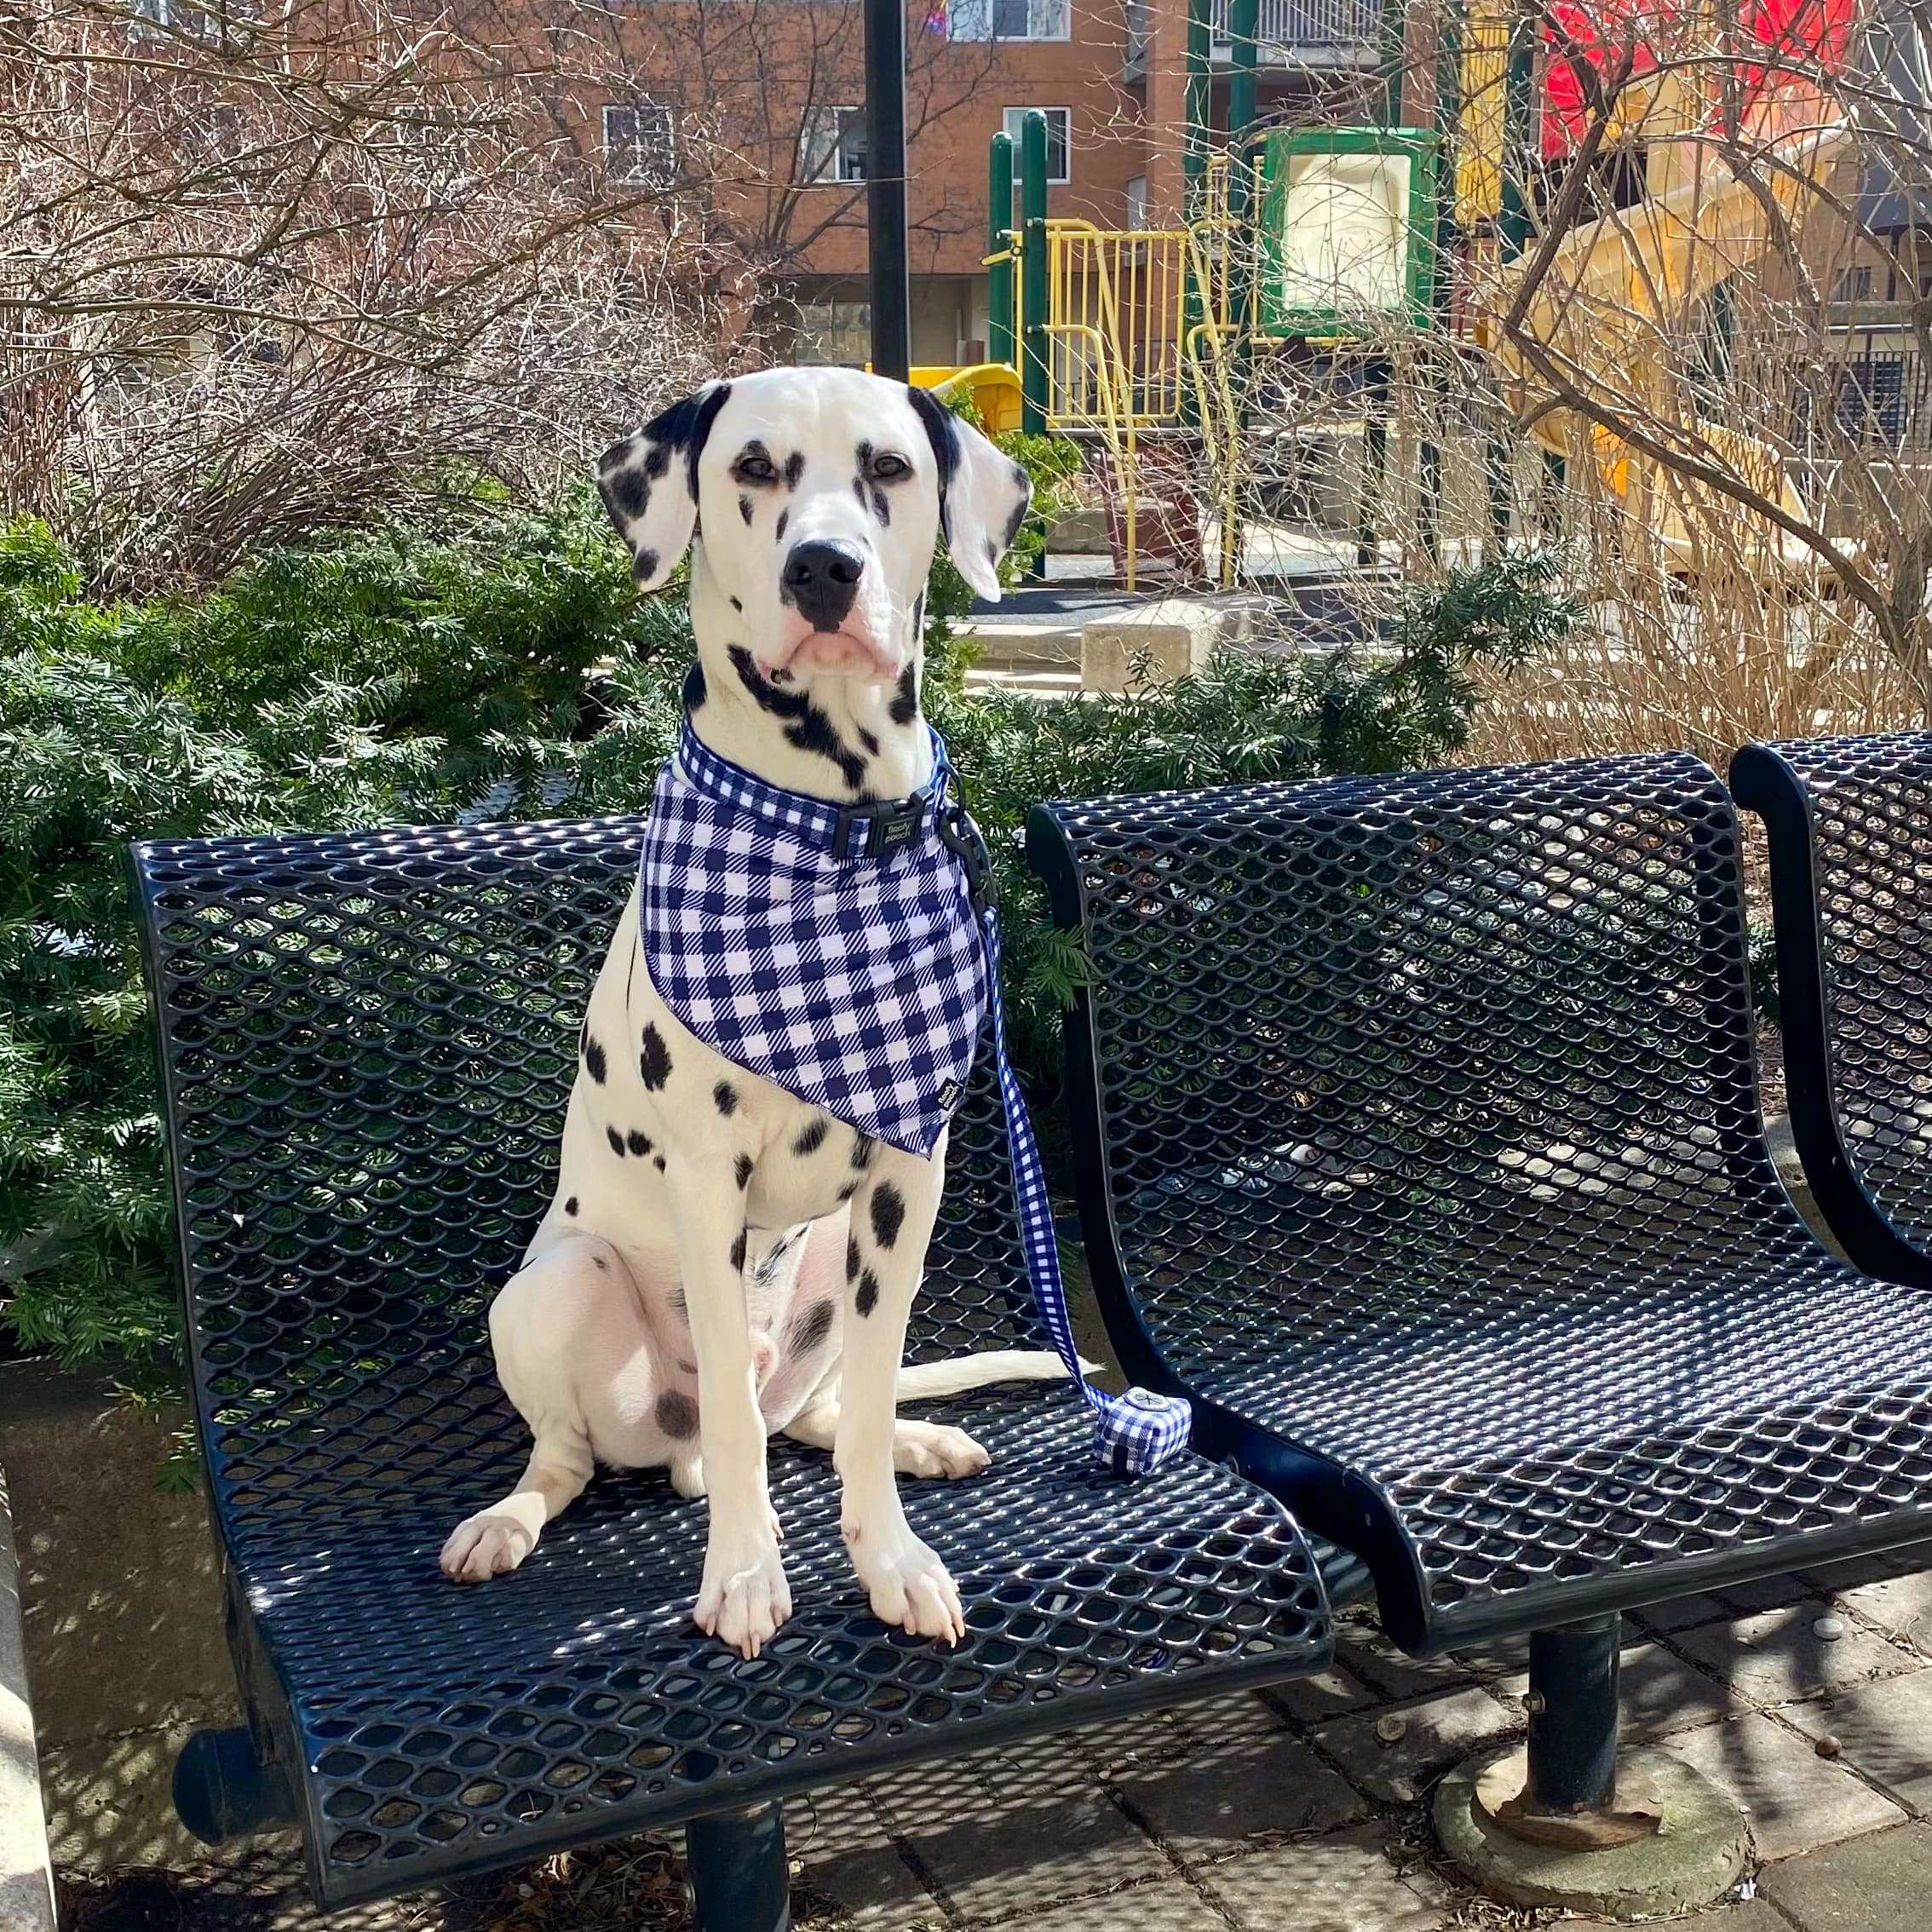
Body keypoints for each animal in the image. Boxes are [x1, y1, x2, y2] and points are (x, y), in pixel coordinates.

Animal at [436, 372, 1058, 1661]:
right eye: (754, 469)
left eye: (888, 467)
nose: (824, 568)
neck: (833, 828)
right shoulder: (707, 1189)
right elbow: (728, 1413)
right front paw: (741, 1575)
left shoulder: (906, 1189)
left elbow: (863, 1404)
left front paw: (890, 1558)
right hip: (555, 1287)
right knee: (582, 1457)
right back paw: (513, 1520)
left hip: (829, 1267)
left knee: (815, 1416)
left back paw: (916, 1441)